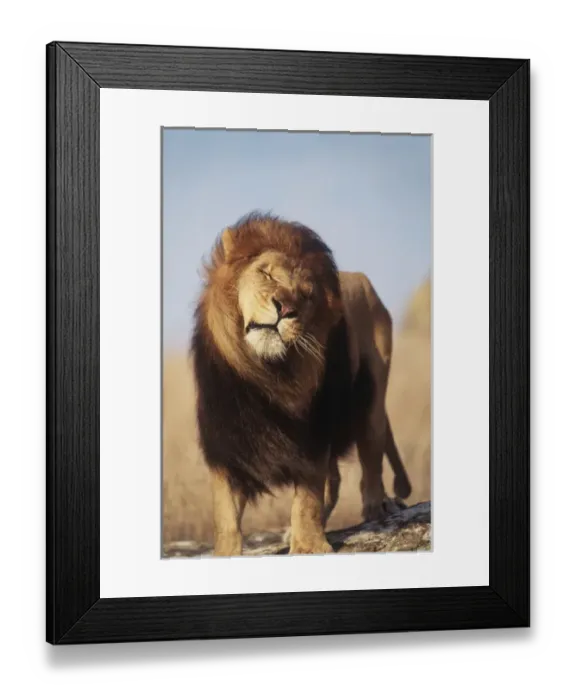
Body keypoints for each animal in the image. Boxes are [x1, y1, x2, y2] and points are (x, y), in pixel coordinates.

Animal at [190, 212, 411, 556]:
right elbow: (224, 513)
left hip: (372, 399)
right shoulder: (226, 441)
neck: (268, 373)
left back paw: (376, 506)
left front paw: (308, 546)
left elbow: (308, 497)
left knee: (370, 459)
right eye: (266, 273)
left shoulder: (313, 434)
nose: (285, 309)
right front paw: (226, 553)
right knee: (335, 482)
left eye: (307, 295)